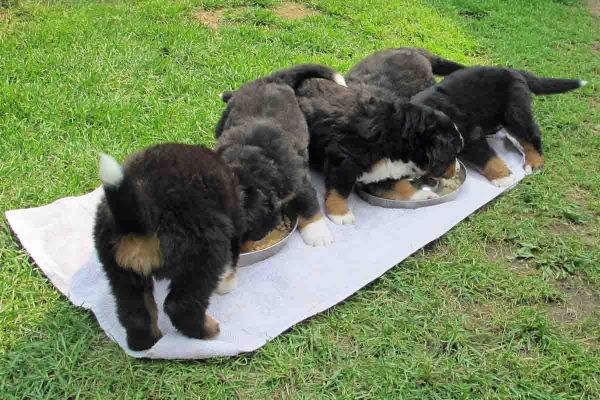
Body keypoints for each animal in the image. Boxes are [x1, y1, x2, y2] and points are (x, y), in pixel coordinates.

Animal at [94, 144, 244, 350]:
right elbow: (231, 261)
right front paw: (228, 284)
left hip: (119, 270)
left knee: (135, 312)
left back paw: (144, 343)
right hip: (204, 256)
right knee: (181, 305)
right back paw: (208, 331)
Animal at [296, 79, 464, 223]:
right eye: (453, 155)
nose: (456, 169)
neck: (397, 138)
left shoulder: (381, 173)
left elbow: (401, 186)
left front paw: (422, 195)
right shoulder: (343, 160)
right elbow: (339, 189)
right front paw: (340, 214)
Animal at [412, 67, 584, 186]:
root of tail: (515, 71)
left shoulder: (469, 133)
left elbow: (485, 157)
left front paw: (503, 177)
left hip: (515, 113)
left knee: (532, 134)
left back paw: (535, 162)